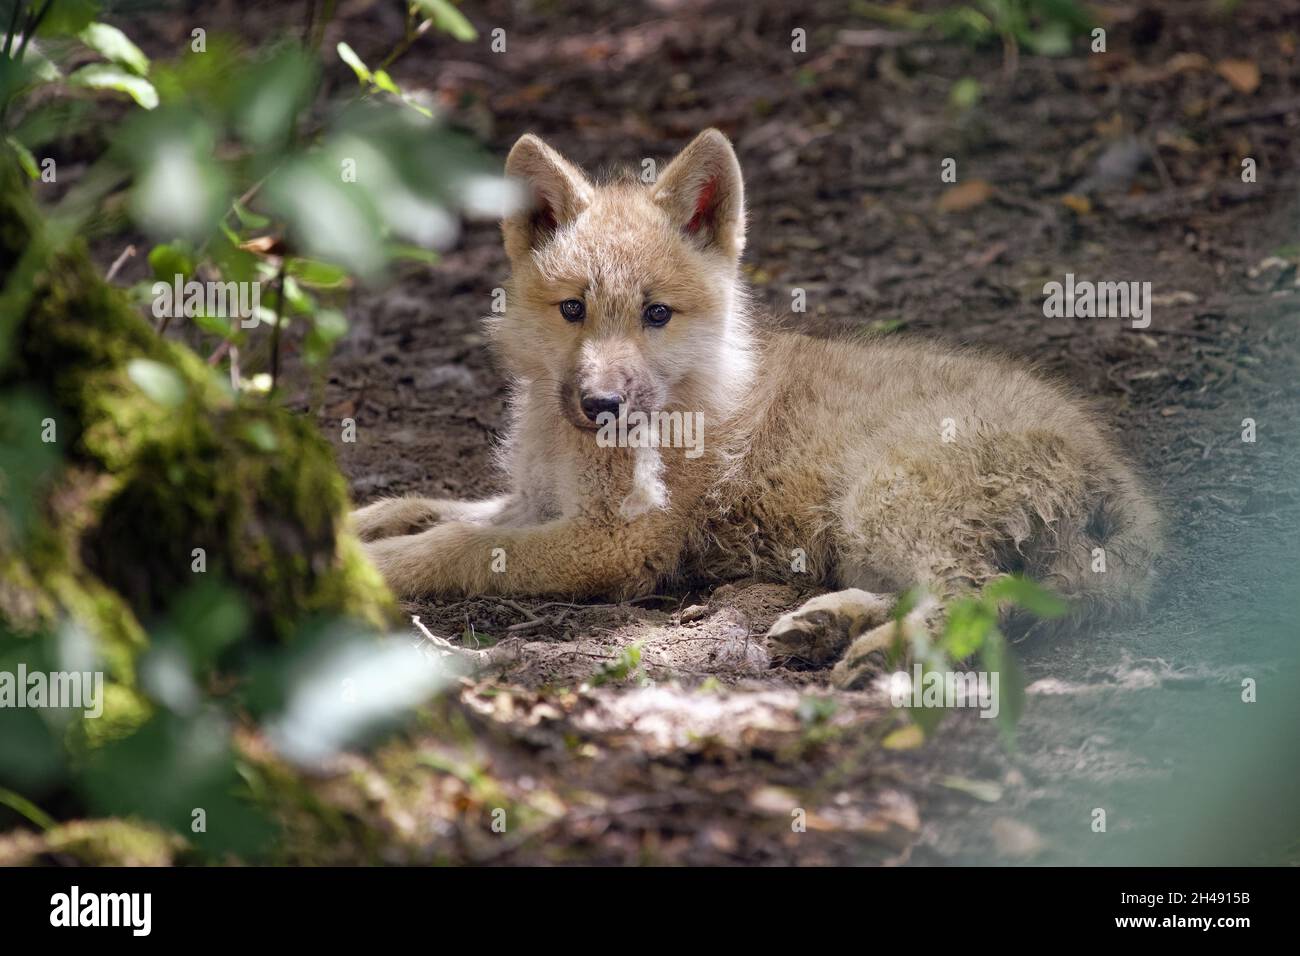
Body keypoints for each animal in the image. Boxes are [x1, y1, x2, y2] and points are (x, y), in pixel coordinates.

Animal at [353, 129, 1161, 688]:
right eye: (573, 309)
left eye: (656, 314)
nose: (602, 405)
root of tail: (1122, 481)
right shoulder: (537, 502)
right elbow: (434, 509)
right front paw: (358, 524)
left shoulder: (615, 544)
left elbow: (449, 548)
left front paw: (371, 570)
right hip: (870, 529)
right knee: (976, 592)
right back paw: (826, 624)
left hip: (882, 495)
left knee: (977, 598)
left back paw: (873, 651)